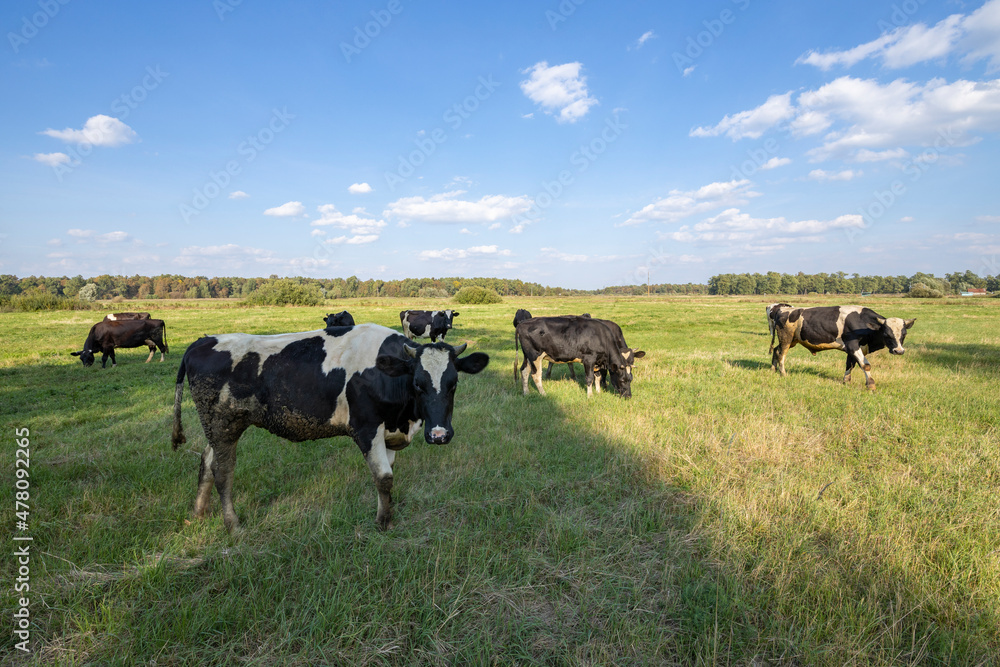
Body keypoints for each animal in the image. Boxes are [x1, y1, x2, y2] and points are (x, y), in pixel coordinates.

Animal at [173, 324, 492, 532]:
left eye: (453, 383)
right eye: (418, 383)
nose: (439, 435)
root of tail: (201, 341)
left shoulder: (389, 433)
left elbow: (389, 475)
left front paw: (388, 511)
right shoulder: (366, 428)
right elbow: (384, 478)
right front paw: (383, 523)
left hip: (215, 429)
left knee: (206, 464)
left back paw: (198, 514)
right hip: (224, 425)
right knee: (223, 472)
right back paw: (233, 524)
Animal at [768, 306, 916, 388]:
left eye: (904, 334)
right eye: (886, 334)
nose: (899, 351)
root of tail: (783, 309)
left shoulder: (854, 349)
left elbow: (850, 364)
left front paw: (846, 381)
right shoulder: (852, 345)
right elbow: (865, 365)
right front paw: (871, 384)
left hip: (792, 340)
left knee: (776, 350)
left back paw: (773, 369)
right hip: (786, 339)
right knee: (781, 354)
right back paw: (783, 373)